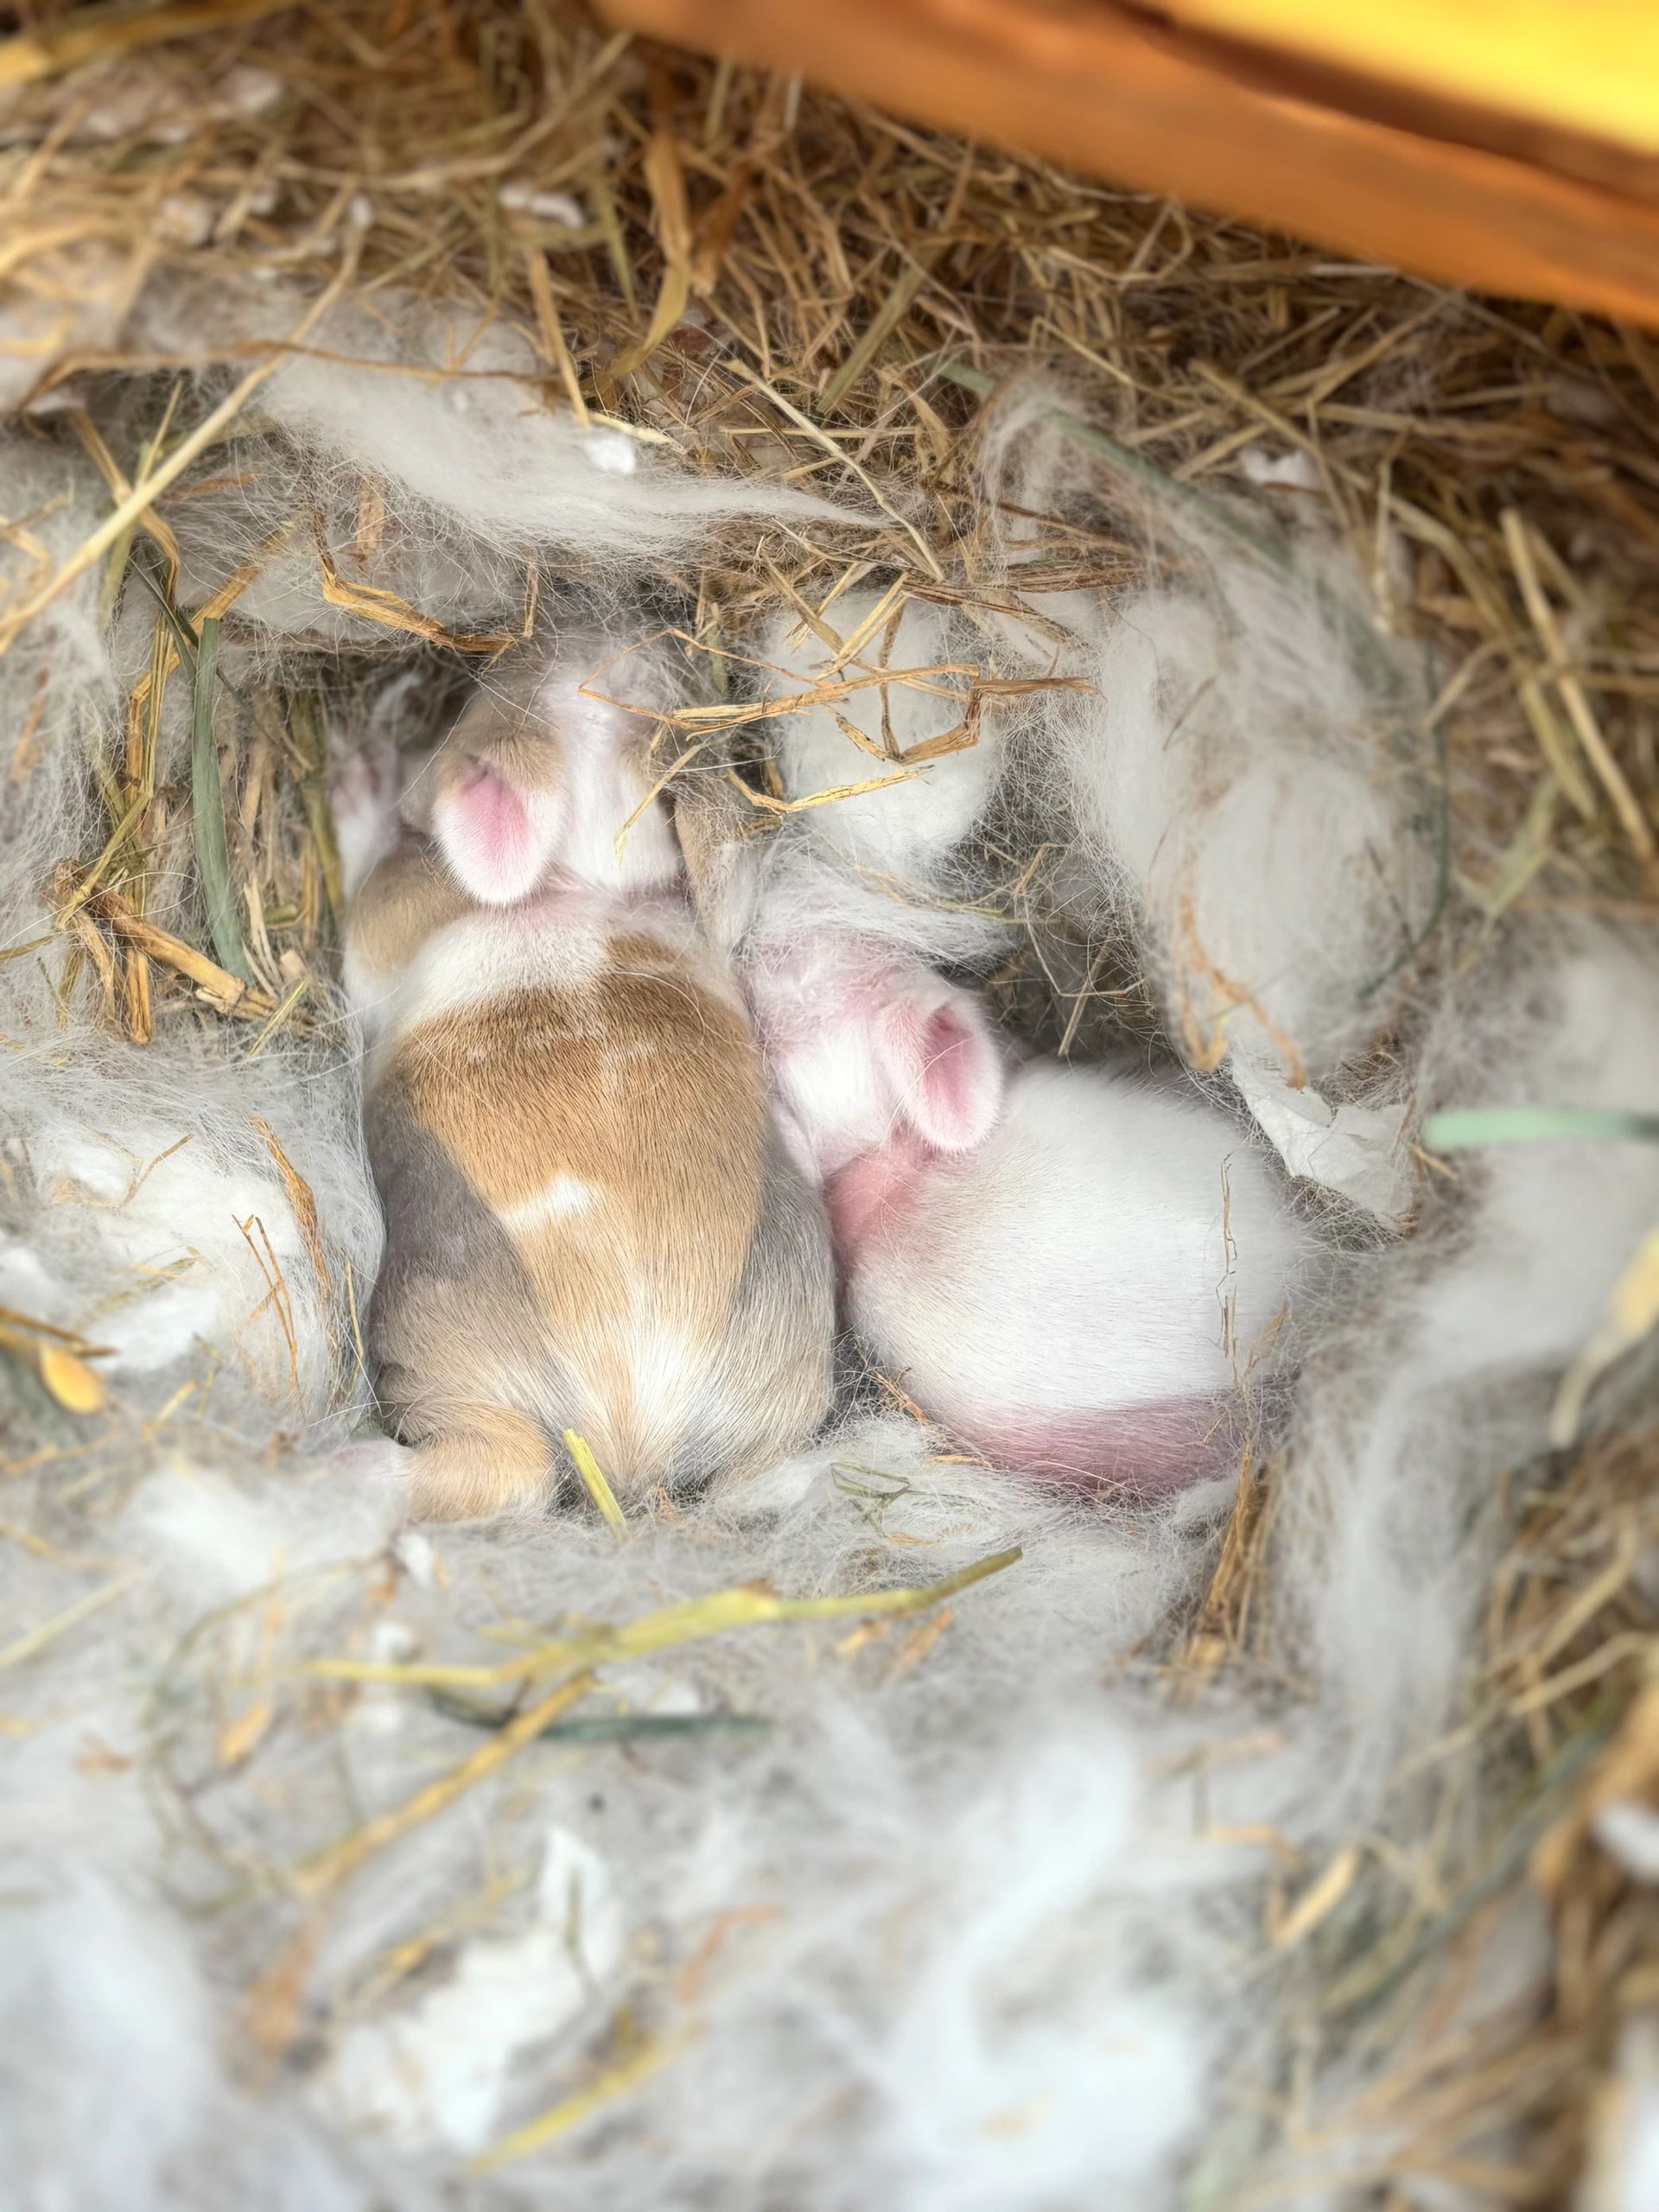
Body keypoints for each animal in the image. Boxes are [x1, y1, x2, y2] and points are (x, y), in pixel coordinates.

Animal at [333, 637, 835, 1521]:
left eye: (485, 686)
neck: (584, 880)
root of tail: (633, 1422)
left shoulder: (387, 919)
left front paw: (362, 777)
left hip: (444, 1359)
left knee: (509, 1472)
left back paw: (341, 1469)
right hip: (787, 1372)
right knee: (749, 1480)